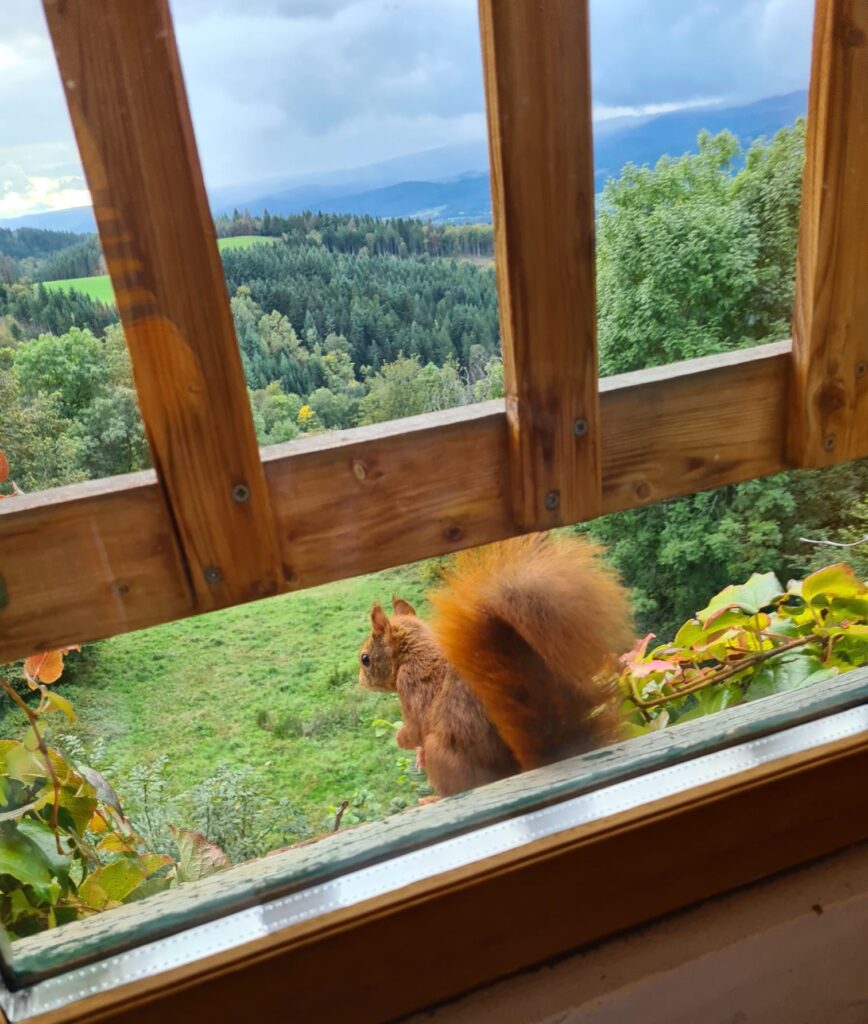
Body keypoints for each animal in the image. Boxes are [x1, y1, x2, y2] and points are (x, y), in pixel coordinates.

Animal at [358, 532, 634, 797]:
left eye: (365, 659)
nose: (361, 681)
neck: (416, 649)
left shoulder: (411, 684)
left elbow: (415, 728)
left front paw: (402, 739)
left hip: (442, 756)